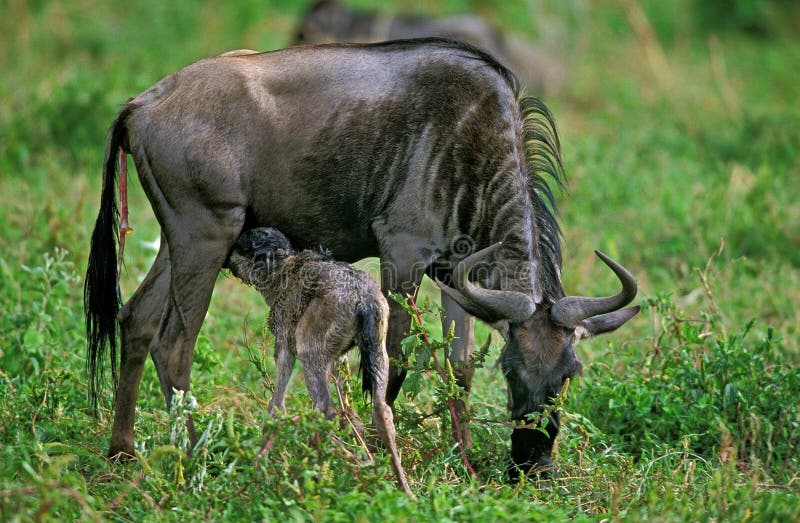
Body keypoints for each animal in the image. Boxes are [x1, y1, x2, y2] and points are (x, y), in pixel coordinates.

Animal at [227, 226, 410, 496]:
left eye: (242, 246)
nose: (227, 261)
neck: (283, 268)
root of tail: (363, 299)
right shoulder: (341, 356)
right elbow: (349, 411)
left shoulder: (284, 344)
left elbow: (276, 403)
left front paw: (260, 459)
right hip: (378, 351)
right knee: (382, 410)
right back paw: (401, 487)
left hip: (309, 351)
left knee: (324, 408)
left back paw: (310, 473)